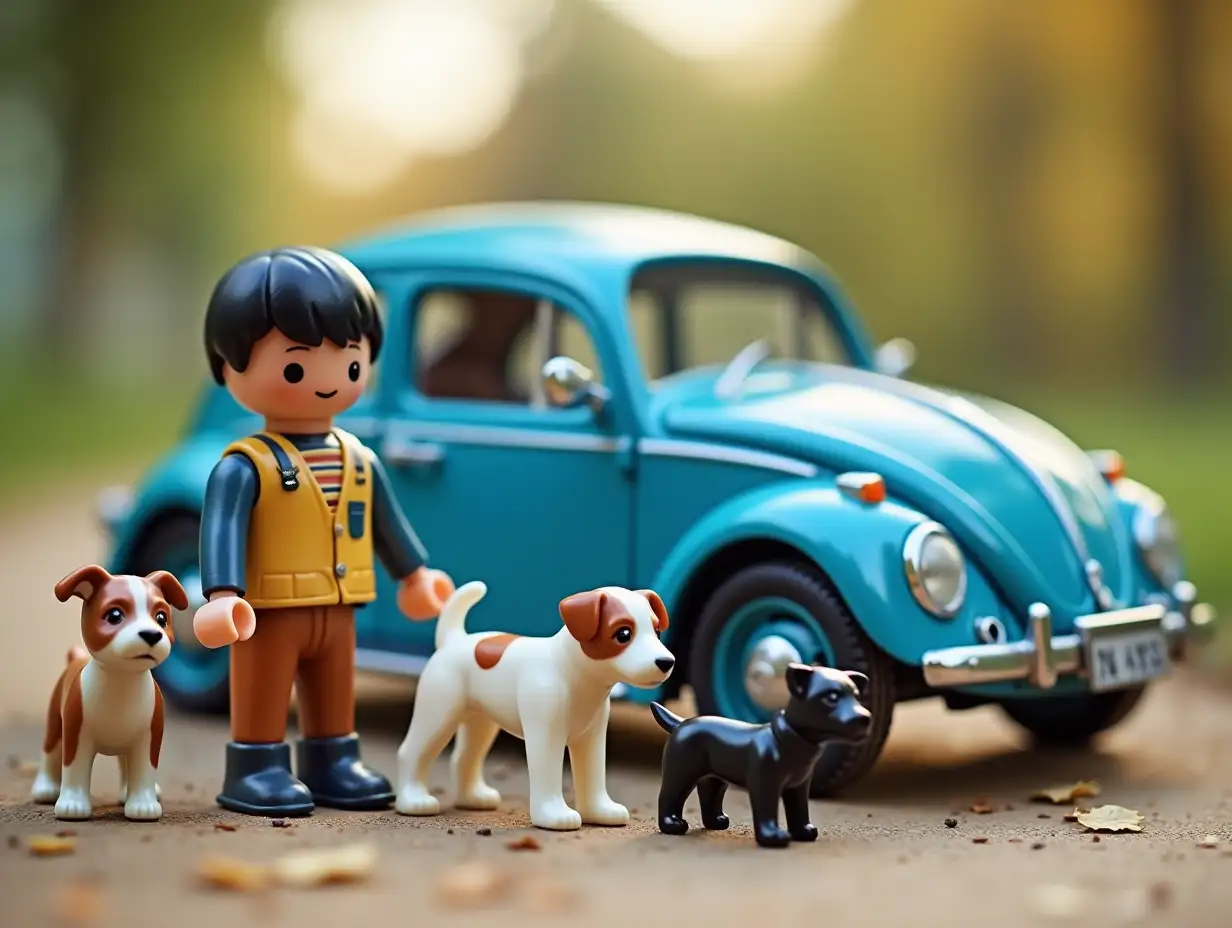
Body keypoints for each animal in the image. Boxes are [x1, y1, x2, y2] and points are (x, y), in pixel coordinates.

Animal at [31, 564, 187, 818]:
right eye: (114, 616)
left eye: (162, 618)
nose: (152, 634)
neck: (121, 679)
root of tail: (76, 657)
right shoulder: (76, 735)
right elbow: (74, 769)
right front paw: (72, 805)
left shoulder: (147, 738)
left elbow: (144, 769)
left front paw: (143, 805)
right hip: (55, 724)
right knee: (49, 751)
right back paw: (45, 789)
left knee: (126, 764)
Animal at [394, 581, 680, 828]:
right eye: (623, 634)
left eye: (657, 630)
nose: (667, 662)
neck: (571, 672)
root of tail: (453, 640)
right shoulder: (546, 736)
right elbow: (548, 772)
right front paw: (555, 816)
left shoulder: (591, 738)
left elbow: (593, 774)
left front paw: (600, 812)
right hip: (438, 713)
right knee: (411, 751)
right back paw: (414, 801)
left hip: (480, 721)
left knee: (463, 757)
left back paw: (474, 798)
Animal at [650, 660, 872, 847]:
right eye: (832, 697)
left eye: (857, 697)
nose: (865, 718)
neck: (788, 742)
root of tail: (681, 723)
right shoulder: (765, 783)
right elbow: (767, 809)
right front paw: (773, 837)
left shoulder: (799, 785)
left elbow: (799, 809)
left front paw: (804, 832)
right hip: (681, 771)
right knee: (668, 796)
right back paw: (673, 825)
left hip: (714, 777)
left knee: (708, 794)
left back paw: (716, 822)